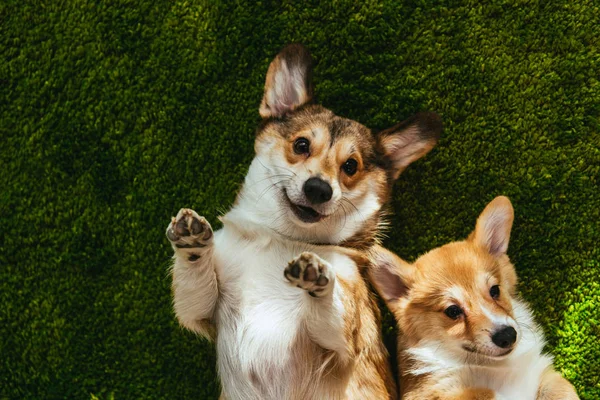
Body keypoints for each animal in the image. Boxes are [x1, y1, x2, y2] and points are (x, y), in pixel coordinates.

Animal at [164, 44, 440, 400]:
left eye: (350, 166)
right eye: (301, 145)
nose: (319, 188)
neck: (284, 239)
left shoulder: (342, 339)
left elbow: (329, 312)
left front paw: (317, 277)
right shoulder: (202, 309)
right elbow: (194, 282)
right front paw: (191, 241)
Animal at [368, 196, 580, 400]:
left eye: (495, 290)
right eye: (452, 311)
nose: (507, 335)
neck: (498, 367)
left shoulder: (542, 376)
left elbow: (561, 390)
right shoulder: (428, 393)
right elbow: (483, 393)